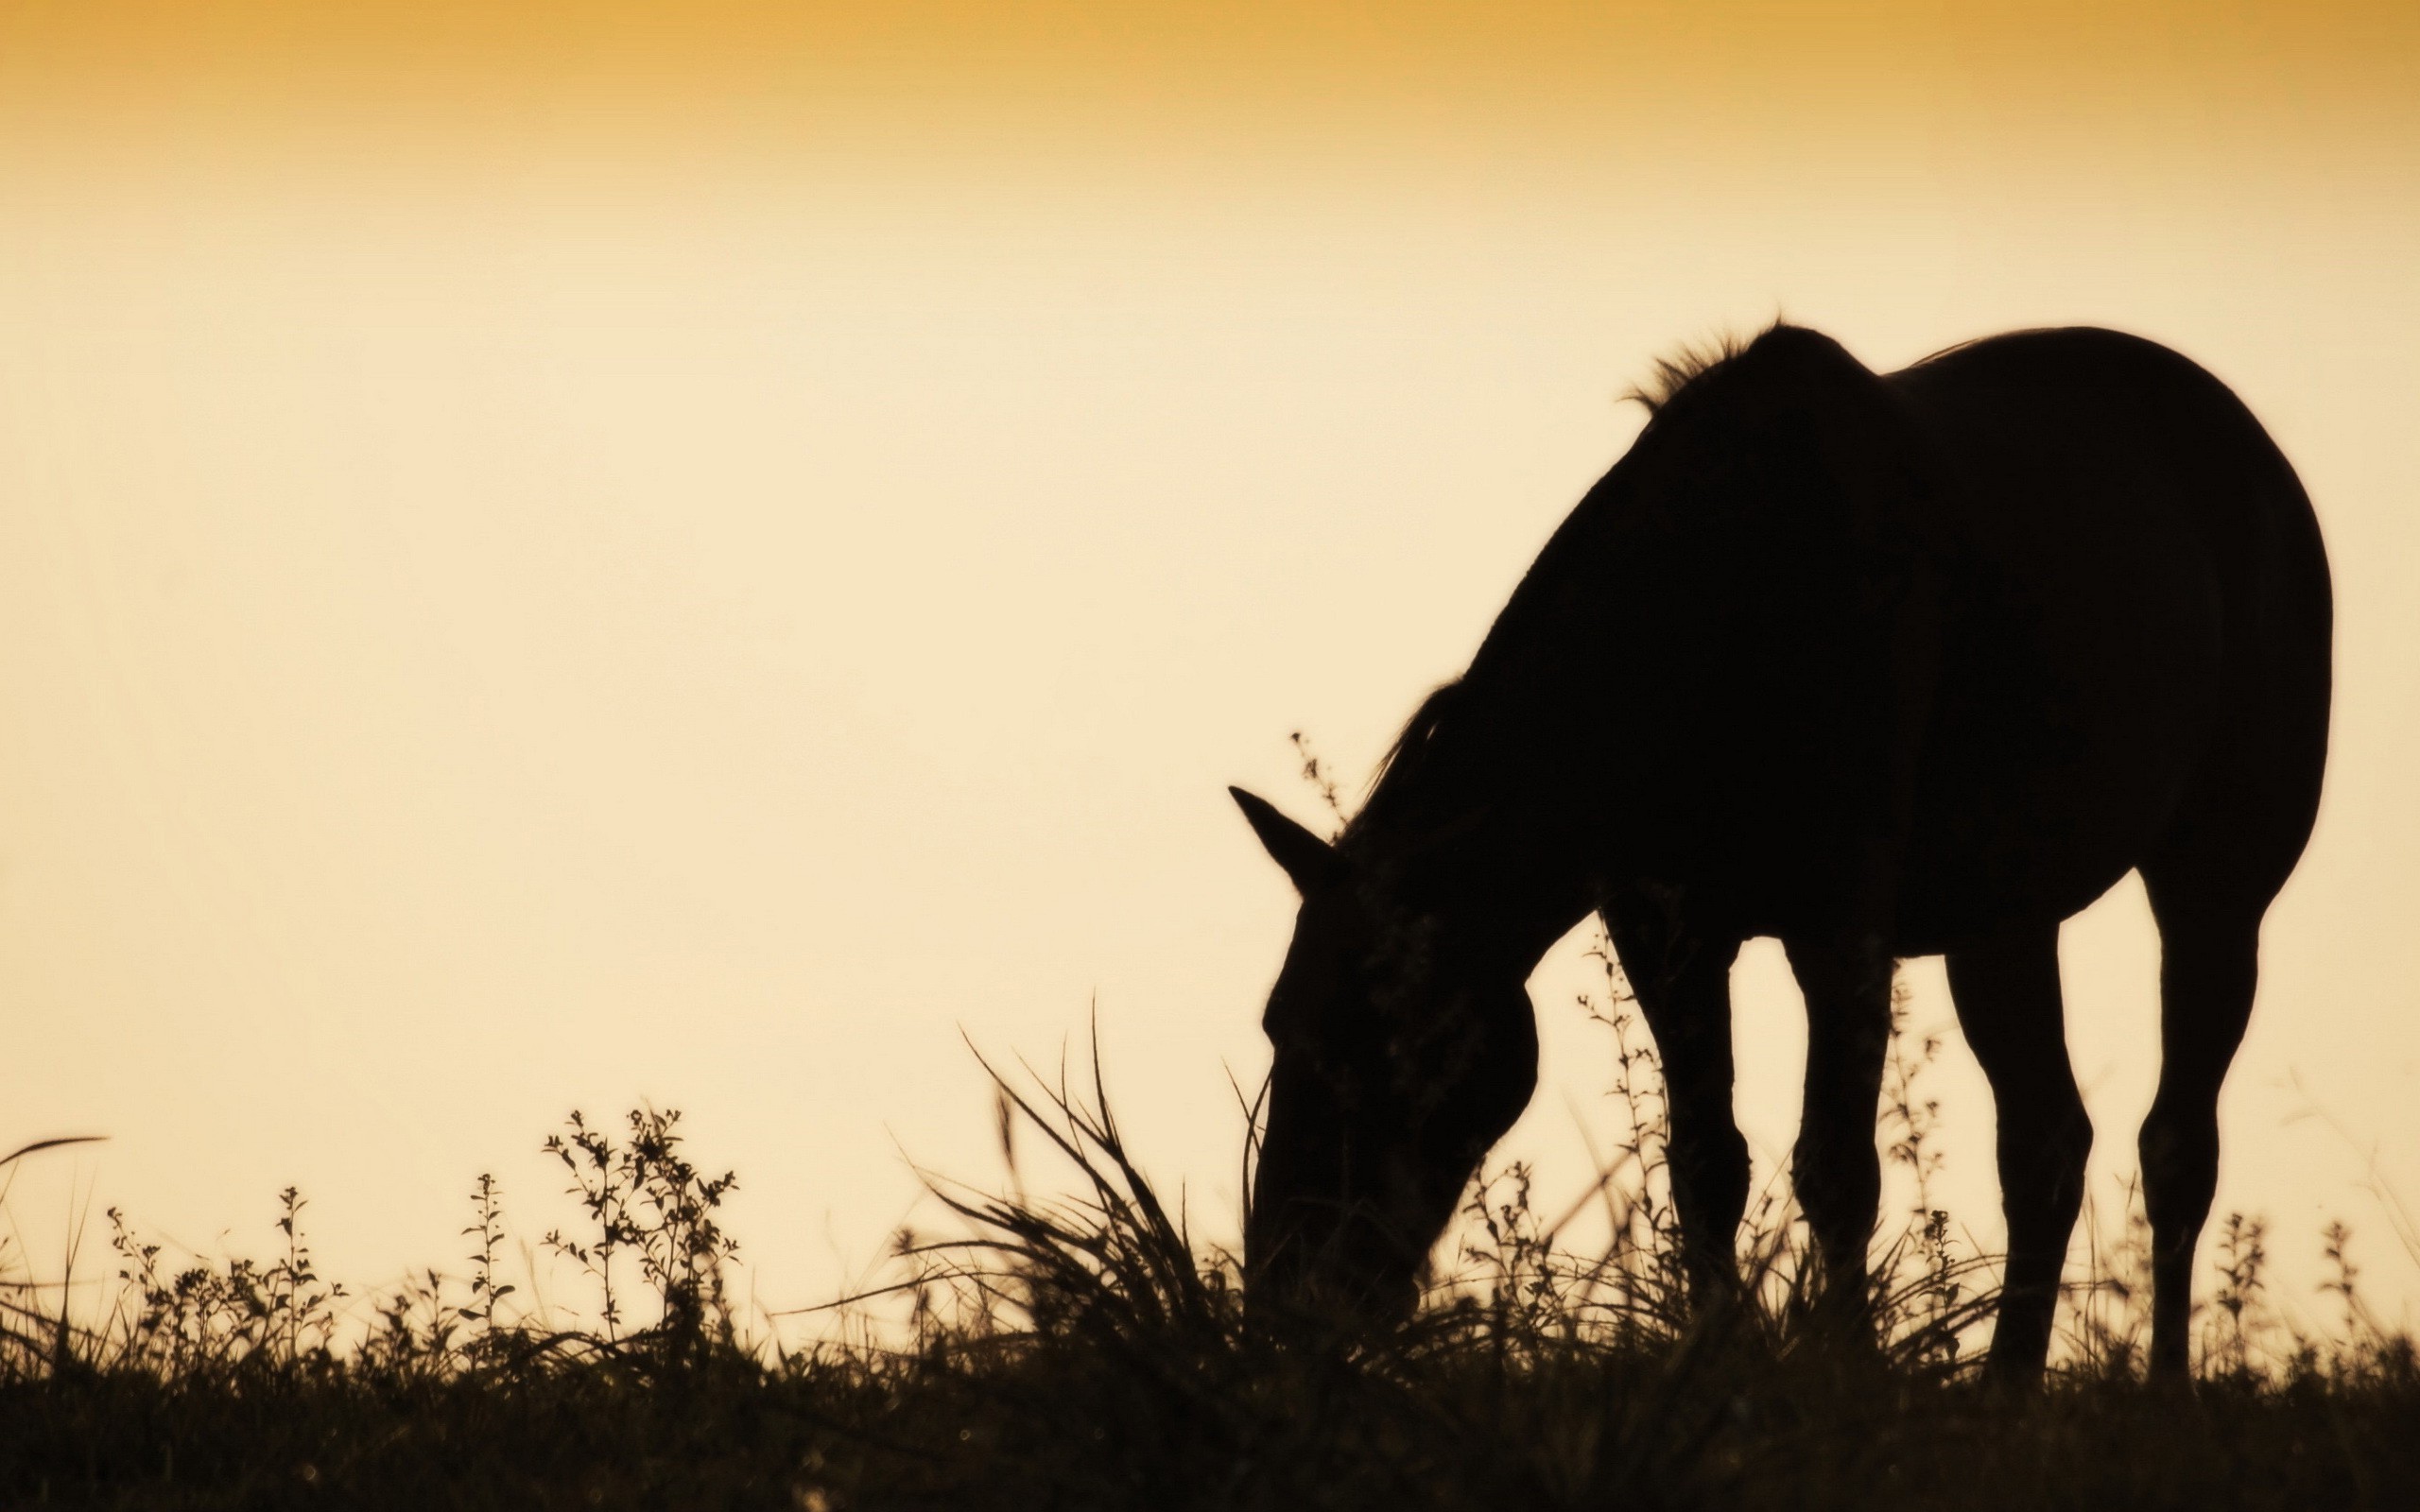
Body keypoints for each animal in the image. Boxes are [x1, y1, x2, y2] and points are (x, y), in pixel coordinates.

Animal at [1229, 323, 2330, 1381]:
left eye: (1382, 1040)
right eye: (1278, 1024)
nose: (1287, 1291)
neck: (1726, 606)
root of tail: (2263, 465)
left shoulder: (1839, 926)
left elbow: (1837, 1168)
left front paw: (1847, 1373)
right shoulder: (1667, 931)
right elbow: (1707, 1162)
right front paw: (1713, 1358)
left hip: (2215, 888)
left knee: (2177, 1144)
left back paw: (2165, 1389)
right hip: (2004, 922)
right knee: (2045, 1144)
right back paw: (2005, 1391)